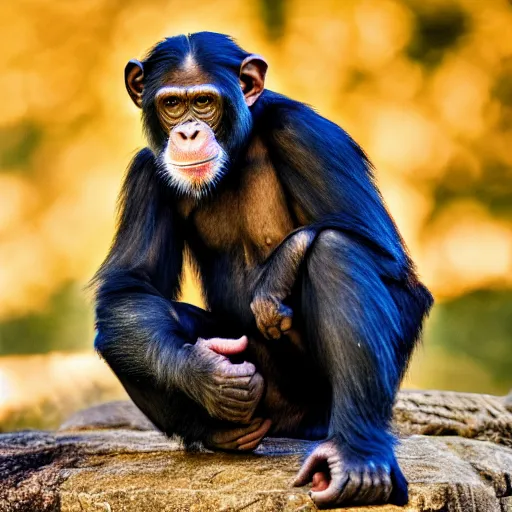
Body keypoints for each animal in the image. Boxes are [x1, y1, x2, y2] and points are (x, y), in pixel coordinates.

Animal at [92, 32, 432, 508]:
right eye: (172, 104)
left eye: (204, 101)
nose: (188, 131)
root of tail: (291, 426)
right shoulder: (145, 173)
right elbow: (130, 286)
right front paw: (202, 372)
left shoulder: (308, 134)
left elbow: (387, 257)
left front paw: (281, 267)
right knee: (126, 326)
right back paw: (222, 432)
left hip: (319, 406)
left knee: (338, 250)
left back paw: (357, 460)